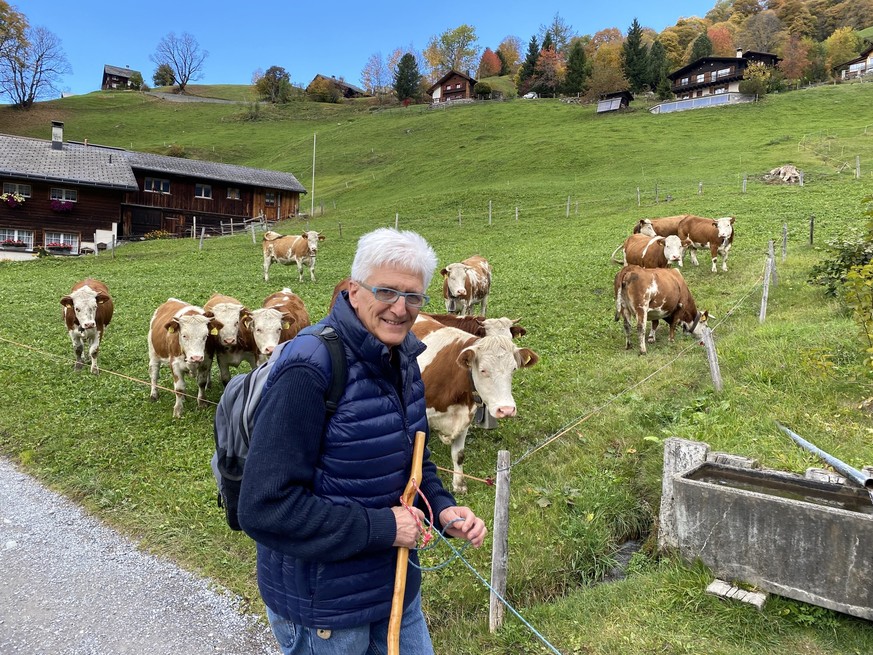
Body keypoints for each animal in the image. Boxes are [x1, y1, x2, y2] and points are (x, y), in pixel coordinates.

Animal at [410, 316, 540, 492]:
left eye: (513, 369)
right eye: (483, 370)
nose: (506, 409)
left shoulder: (465, 416)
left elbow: (459, 454)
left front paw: (459, 485)